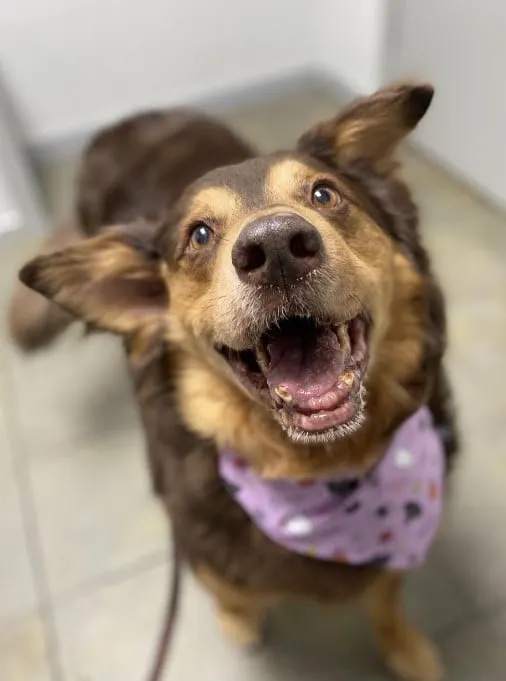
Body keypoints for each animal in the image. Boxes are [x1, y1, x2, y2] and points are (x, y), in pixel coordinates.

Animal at [11, 85, 458, 680]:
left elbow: (386, 598)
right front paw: (239, 621)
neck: (322, 467)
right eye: (199, 234)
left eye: (325, 194)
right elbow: (230, 589)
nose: (276, 247)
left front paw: (406, 648)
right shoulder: (199, 542)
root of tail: (129, 120)